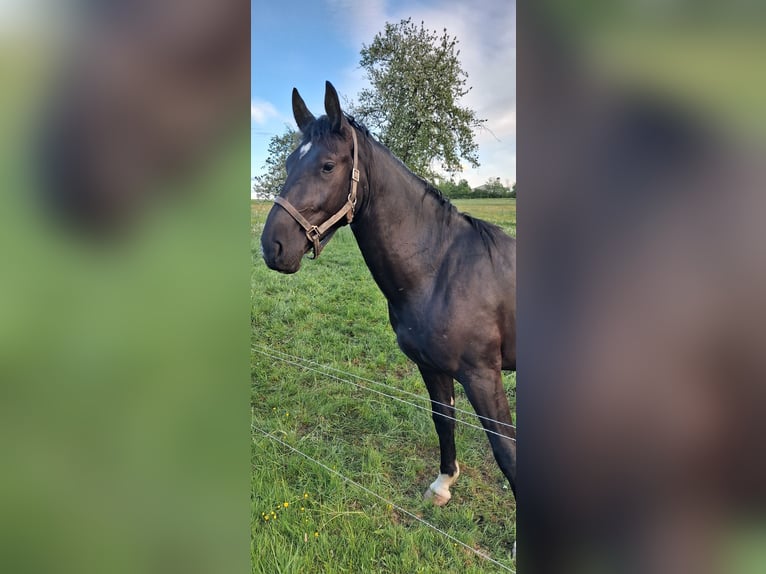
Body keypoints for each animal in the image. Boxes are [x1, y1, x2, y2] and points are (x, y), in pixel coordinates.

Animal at [261, 81, 517, 504]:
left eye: (327, 165)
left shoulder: (483, 376)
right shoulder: (432, 367)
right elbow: (443, 420)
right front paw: (442, 484)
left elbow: (506, 452)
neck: (441, 269)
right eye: (287, 163)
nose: (273, 246)